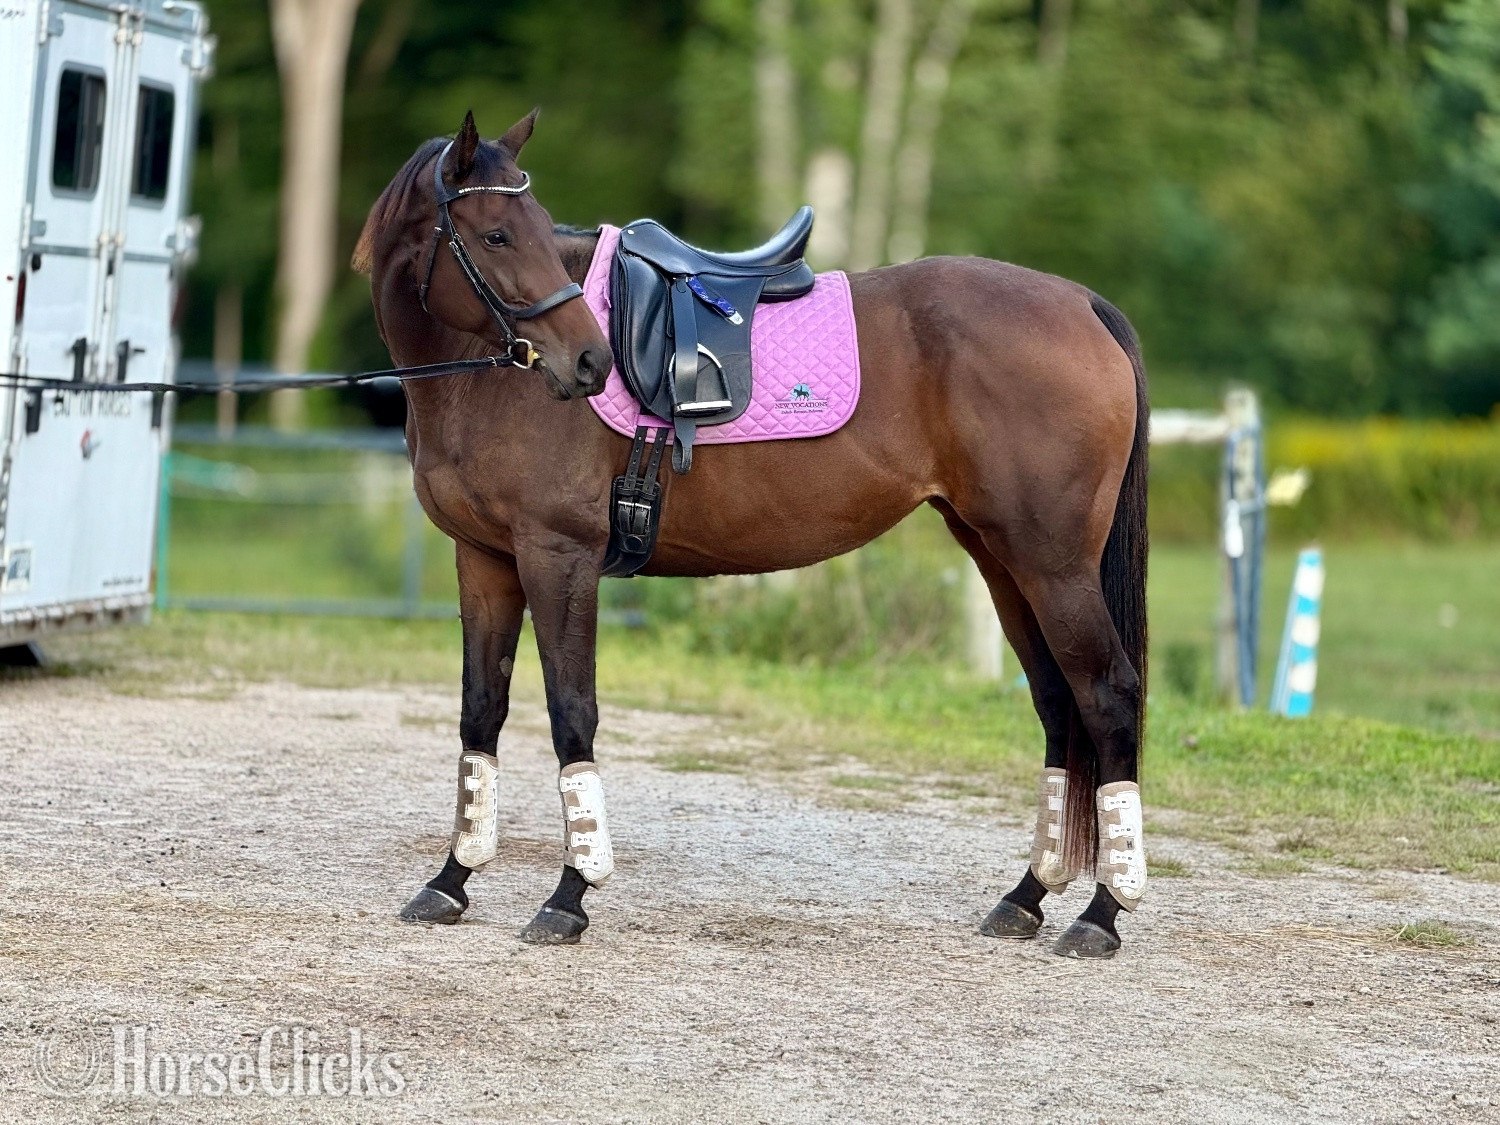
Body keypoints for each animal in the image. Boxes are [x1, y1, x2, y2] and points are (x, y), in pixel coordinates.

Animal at [353, 110, 1149, 960]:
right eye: (497, 233)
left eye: (532, 228)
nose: (589, 361)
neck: (482, 378)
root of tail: (1081, 303)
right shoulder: (485, 559)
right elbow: (481, 711)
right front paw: (450, 879)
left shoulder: (557, 557)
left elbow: (572, 713)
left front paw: (569, 895)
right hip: (1005, 562)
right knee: (1058, 702)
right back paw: (1027, 895)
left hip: (1054, 566)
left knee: (1108, 695)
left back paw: (1102, 912)